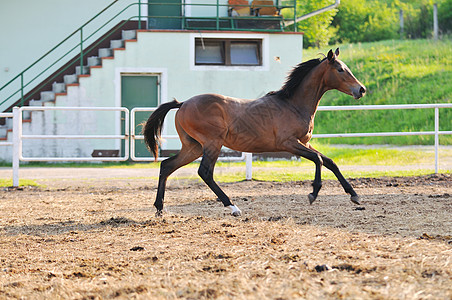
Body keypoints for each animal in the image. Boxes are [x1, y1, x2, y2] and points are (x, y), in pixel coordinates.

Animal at [143, 48, 366, 217]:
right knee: (204, 172)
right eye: (340, 69)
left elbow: (330, 162)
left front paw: (354, 195)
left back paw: (159, 209)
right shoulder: (289, 143)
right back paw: (233, 207)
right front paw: (313, 193)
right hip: (212, 144)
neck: (293, 104)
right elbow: (318, 160)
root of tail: (182, 103)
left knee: (166, 166)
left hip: (194, 147)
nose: (361, 89)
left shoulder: (305, 142)